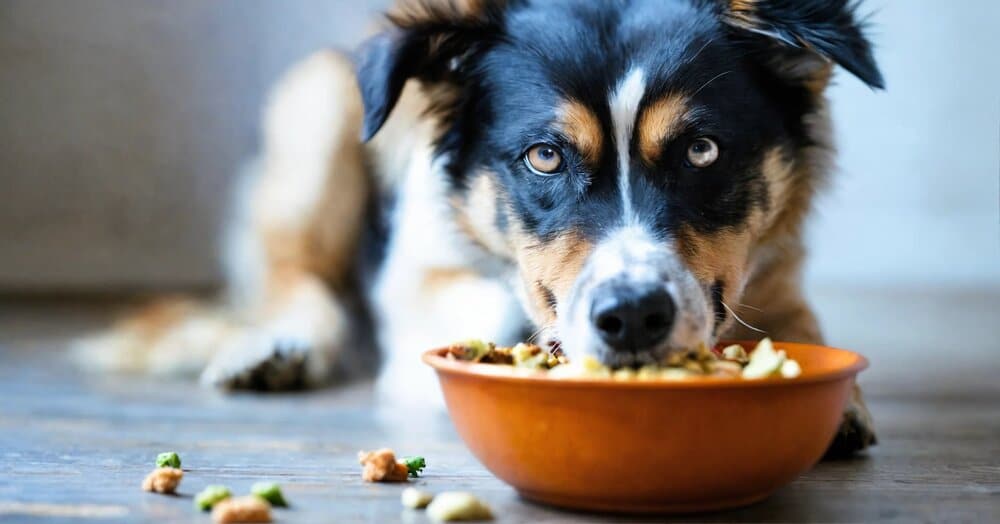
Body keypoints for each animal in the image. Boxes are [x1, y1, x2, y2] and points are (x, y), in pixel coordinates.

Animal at [76, 0, 884, 454]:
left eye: (702, 150)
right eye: (545, 156)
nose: (631, 318)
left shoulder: (778, 272)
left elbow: (797, 326)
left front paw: (832, 401)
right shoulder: (419, 270)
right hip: (319, 99)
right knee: (294, 277)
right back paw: (279, 345)